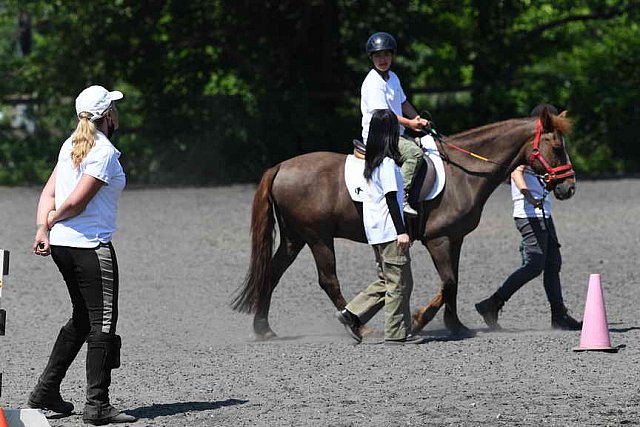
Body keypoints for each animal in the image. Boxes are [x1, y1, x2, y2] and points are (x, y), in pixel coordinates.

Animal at [230, 109, 576, 342]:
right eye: (557, 148)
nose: (568, 188)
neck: (464, 172)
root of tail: (281, 166)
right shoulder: (438, 239)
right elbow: (448, 282)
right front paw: (422, 319)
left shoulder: (455, 239)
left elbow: (454, 282)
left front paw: (455, 325)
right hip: (318, 238)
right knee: (328, 280)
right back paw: (359, 325)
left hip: (295, 238)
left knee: (272, 273)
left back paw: (264, 329)